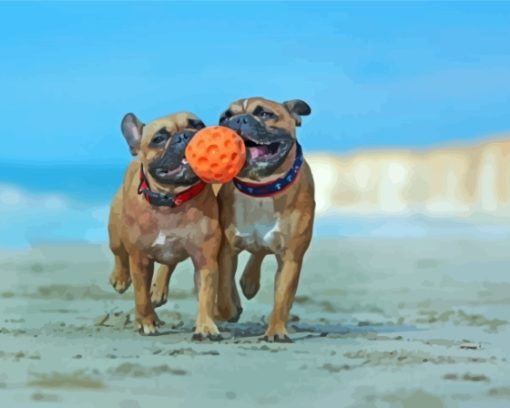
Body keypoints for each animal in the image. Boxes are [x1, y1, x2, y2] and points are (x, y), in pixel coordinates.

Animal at [108, 111, 222, 342]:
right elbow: (141, 295)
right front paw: (146, 322)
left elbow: (206, 293)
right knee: (119, 254)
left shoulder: (205, 257)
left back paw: (158, 289)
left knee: (169, 263)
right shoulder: (140, 259)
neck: (172, 199)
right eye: (159, 139)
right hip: (115, 231)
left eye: (198, 125)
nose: (185, 136)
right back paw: (120, 279)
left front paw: (206, 326)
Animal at [214, 97, 314, 342]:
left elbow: (282, 298)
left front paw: (276, 330)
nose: (238, 120)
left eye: (265, 114)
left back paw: (249, 282)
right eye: (224, 117)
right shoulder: (226, 250)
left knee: (259, 251)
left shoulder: (291, 257)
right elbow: (224, 291)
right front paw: (229, 309)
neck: (260, 187)